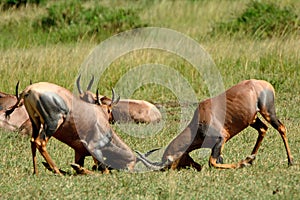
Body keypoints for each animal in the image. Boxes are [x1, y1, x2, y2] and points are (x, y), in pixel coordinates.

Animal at [5, 81, 137, 175]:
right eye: (132, 162)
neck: (101, 117)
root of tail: (28, 89)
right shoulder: (93, 147)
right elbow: (104, 171)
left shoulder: (79, 152)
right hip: (53, 123)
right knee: (40, 142)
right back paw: (57, 171)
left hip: (35, 122)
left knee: (33, 141)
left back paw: (36, 172)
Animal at [137, 79, 294, 170]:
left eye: (168, 165)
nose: (197, 167)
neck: (199, 119)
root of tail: (265, 84)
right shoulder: (220, 145)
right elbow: (218, 160)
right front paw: (246, 161)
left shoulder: (221, 138)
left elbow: (212, 162)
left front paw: (242, 163)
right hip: (253, 119)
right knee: (263, 129)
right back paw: (251, 158)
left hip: (267, 111)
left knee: (281, 128)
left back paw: (290, 161)